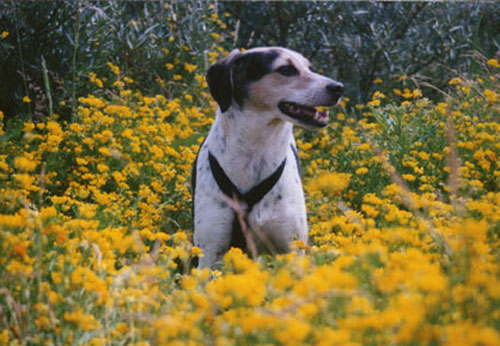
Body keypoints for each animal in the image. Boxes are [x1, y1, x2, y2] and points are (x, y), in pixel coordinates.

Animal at [191, 46, 344, 268]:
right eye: (286, 69)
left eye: (309, 67)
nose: (339, 87)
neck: (255, 151)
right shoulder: (211, 253)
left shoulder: (292, 247)